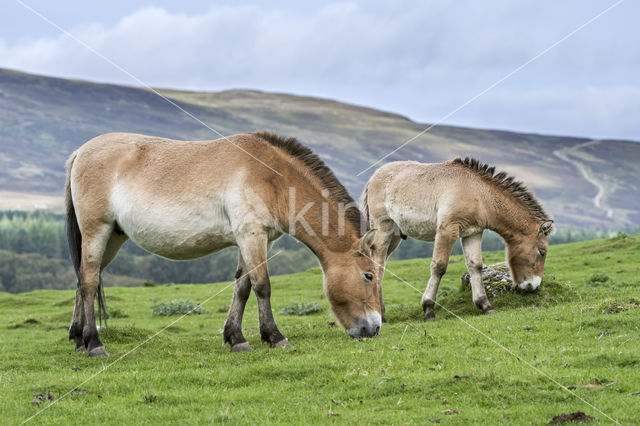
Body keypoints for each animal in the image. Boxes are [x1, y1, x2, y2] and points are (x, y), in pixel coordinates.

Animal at [67, 131, 382, 356]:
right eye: (368, 276)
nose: (375, 327)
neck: (273, 177)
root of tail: (80, 152)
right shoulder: (251, 235)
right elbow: (262, 285)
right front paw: (275, 337)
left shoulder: (254, 240)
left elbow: (242, 287)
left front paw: (236, 339)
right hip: (97, 231)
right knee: (89, 281)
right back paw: (94, 344)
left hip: (112, 238)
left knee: (85, 279)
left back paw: (78, 338)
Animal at [362, 158, 552, 322]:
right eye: (542, 252)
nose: (534, 286)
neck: (479, 193)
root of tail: (373, 177)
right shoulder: (447, 230)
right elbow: (439, 267)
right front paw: (428, 310)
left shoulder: (473, 233)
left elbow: (476, 266)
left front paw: (485, 305)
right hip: (383, 229)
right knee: (378, 263)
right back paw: (382, 315)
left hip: (395, 236)